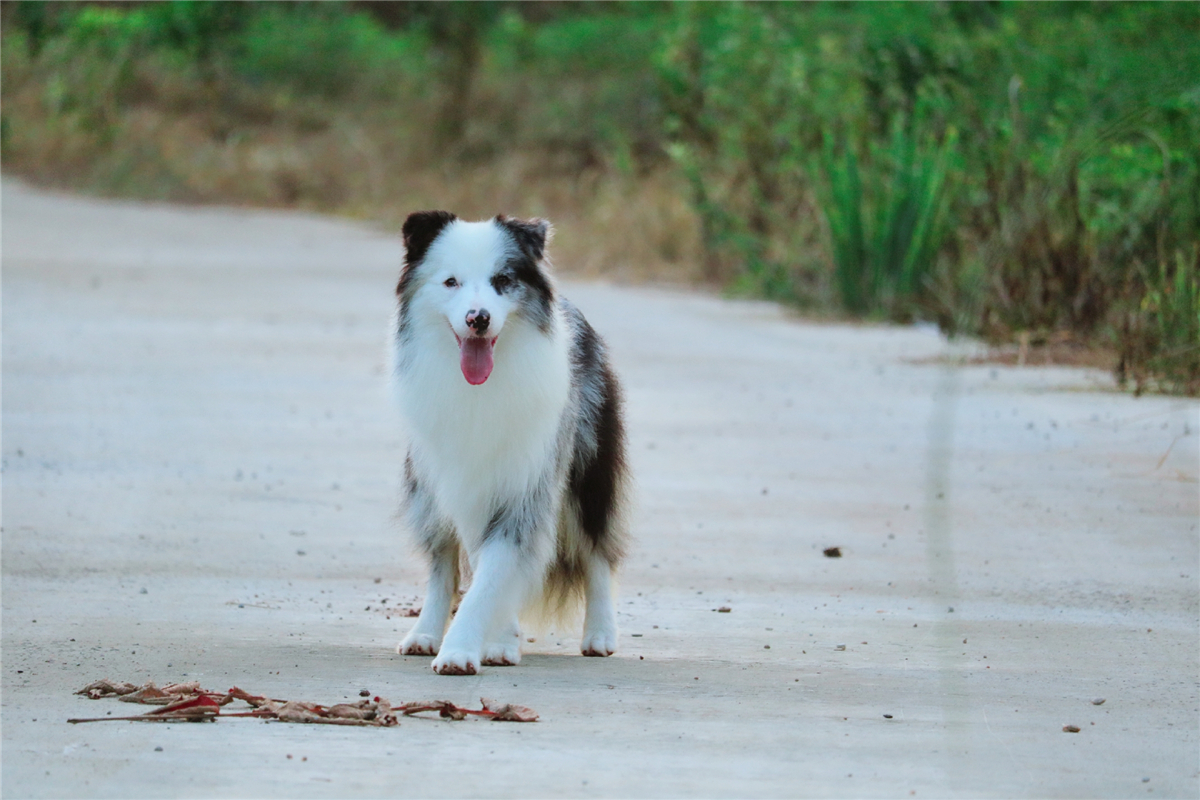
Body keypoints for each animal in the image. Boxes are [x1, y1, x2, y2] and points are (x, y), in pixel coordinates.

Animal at [393, 212, 633, 676]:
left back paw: (599, 635)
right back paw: (426, 634)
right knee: (442, 565)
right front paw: (485, 641)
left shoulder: (526, 484)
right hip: (426, 487)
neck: (481, 388)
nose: (478, 318)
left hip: (587, 467)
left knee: (596, 550)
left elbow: (494, 574)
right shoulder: (463, 485)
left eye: (502, 280)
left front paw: (462, 650)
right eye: (450, 282)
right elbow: (480, 572)